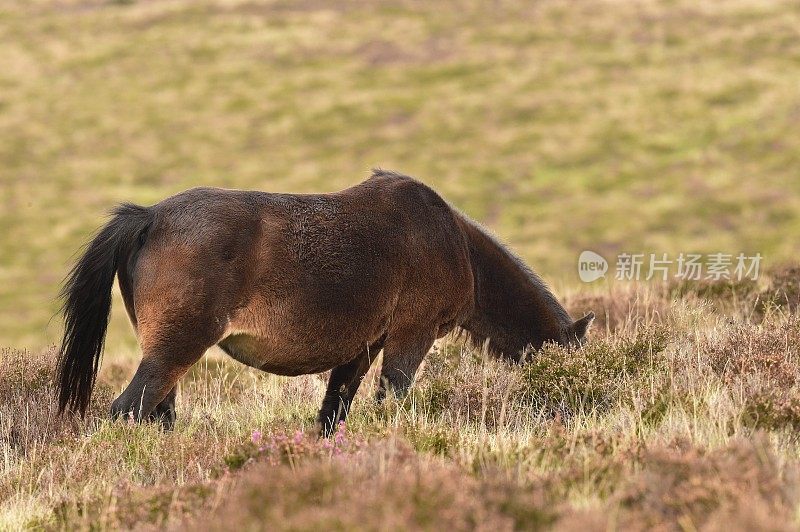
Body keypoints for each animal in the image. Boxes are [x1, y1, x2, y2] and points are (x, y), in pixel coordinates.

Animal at [56, 168, 592, 434]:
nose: (578, 414)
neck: (457, 246)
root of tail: (147, 217)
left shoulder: (363, 347)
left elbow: (334, 412)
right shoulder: (410, 335)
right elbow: (392, 395)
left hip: (167, 355)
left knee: (159, 415)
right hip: (175, 349)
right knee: (129, 412)